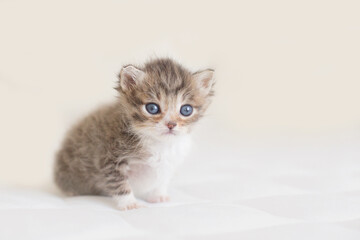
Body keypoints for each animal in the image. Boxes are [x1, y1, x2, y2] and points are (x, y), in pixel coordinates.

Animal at [54, 57, 214, 210]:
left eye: (186, 110)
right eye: (152, 108)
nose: (171, 124)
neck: (157, 143)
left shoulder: (169, 162)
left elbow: (161, 180)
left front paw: (158, 195)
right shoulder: (110, 159)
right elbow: (119, 184)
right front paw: (129, 203)